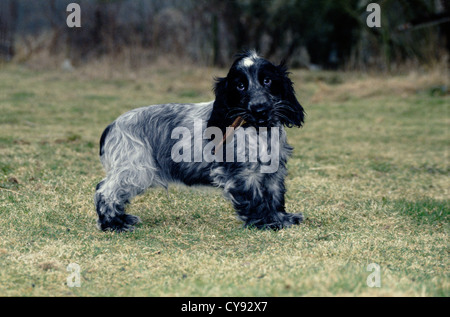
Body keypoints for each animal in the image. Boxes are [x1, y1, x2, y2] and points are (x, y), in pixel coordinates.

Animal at [95, 50, 306, 231]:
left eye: (267, 80)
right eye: (240, 86)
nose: (260, 109)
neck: (258, 130)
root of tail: (113, 126)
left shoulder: (274, 171)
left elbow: (274, 196)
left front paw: (282, 218)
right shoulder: (243, 173)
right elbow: (255, 199)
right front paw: (266, 223)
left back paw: (122, 219)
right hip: (135, 168)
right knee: (104, 191)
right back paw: (113, 224)